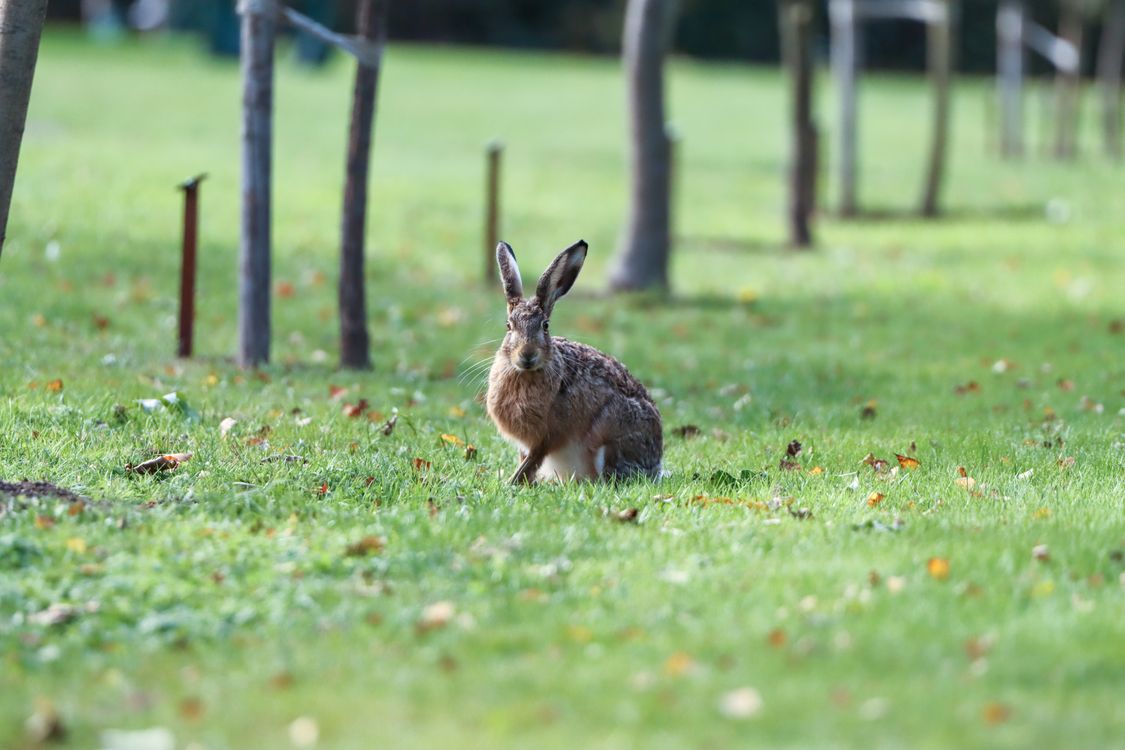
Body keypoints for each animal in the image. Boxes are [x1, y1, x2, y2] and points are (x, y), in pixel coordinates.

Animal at [486, 239, 663, 485]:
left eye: (545, 326)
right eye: (508, 326)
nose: (527, 354)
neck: (527, 373)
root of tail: (657, 464)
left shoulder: (548, 436)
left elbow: (533, 459)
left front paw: (512, 482)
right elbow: (526, 458)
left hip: (609, 428)